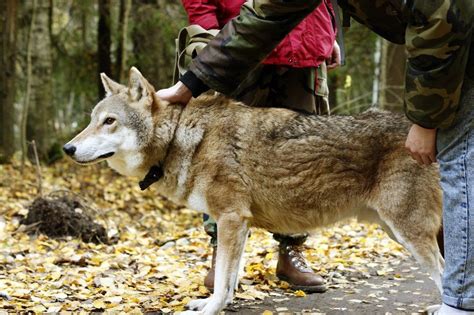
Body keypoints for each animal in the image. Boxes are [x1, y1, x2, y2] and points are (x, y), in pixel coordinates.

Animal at [64, 68, 444, 314]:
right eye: (91, 120)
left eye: (109, 122)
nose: (68, 148)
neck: (179, 139)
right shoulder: (239, 224)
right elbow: (229, 278)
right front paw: (217, 304)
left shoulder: (231, 218)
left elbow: (222, 280)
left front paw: (210, 309)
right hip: (397, 230)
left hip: (407, 231)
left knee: (441, 272)